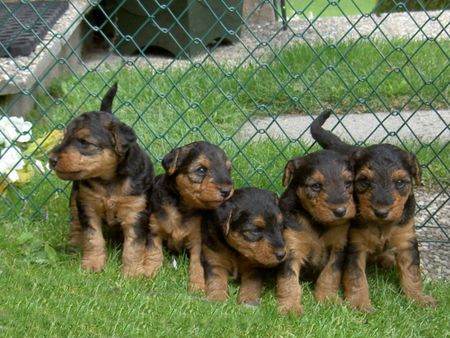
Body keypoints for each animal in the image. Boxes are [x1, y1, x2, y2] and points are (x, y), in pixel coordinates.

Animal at [48, 83, 155, 276]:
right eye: (65, 137)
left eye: (84, 142)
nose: (51, 160)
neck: (108, 180)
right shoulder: (88, 207)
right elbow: (93, 238)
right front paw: (92, 265)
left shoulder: (135, 212)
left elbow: (134, 246)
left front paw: (132, 273)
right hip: (76, 198)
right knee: (75, 222)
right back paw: (73, 244)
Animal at [144, 141, 234, 292]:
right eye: (201, 169)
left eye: (229, 169)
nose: (227, 191)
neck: (182, 207)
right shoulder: (154, 229)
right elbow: (153, 253)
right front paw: (148, 273)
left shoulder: (198, 240)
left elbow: (197, 265)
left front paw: (197, 286)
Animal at [276, 151, 356, 314]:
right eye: (315, 186)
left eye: (348, 183)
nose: (340, 211)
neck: (319, 223)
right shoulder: (291, 246)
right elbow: (289, 280)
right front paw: (290, 307)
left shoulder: (339, 246)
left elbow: (330, 274)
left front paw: (327, 299)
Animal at [310, 109, 436, 310]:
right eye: (364, 181)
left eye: (400, 182)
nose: (381, 212)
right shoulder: (355, 246)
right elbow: (356, 277)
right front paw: (360, 304)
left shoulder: (406, 240)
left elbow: (412, 272)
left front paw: (418, 298)